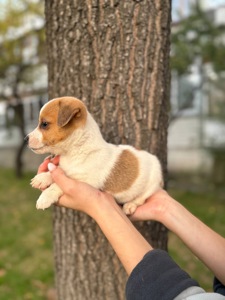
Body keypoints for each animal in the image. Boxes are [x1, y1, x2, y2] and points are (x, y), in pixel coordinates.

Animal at [25, 97, 163, 214]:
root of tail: (153, 158)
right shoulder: (65, 168)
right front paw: (43, 178)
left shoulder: (86, 182)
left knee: (141, 198)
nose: (25, 139)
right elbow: (57, 171)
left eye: (44, 124)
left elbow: (58, 185)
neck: (75, 152)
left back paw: (130, 205)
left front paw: (45, 196)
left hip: (152, 184)